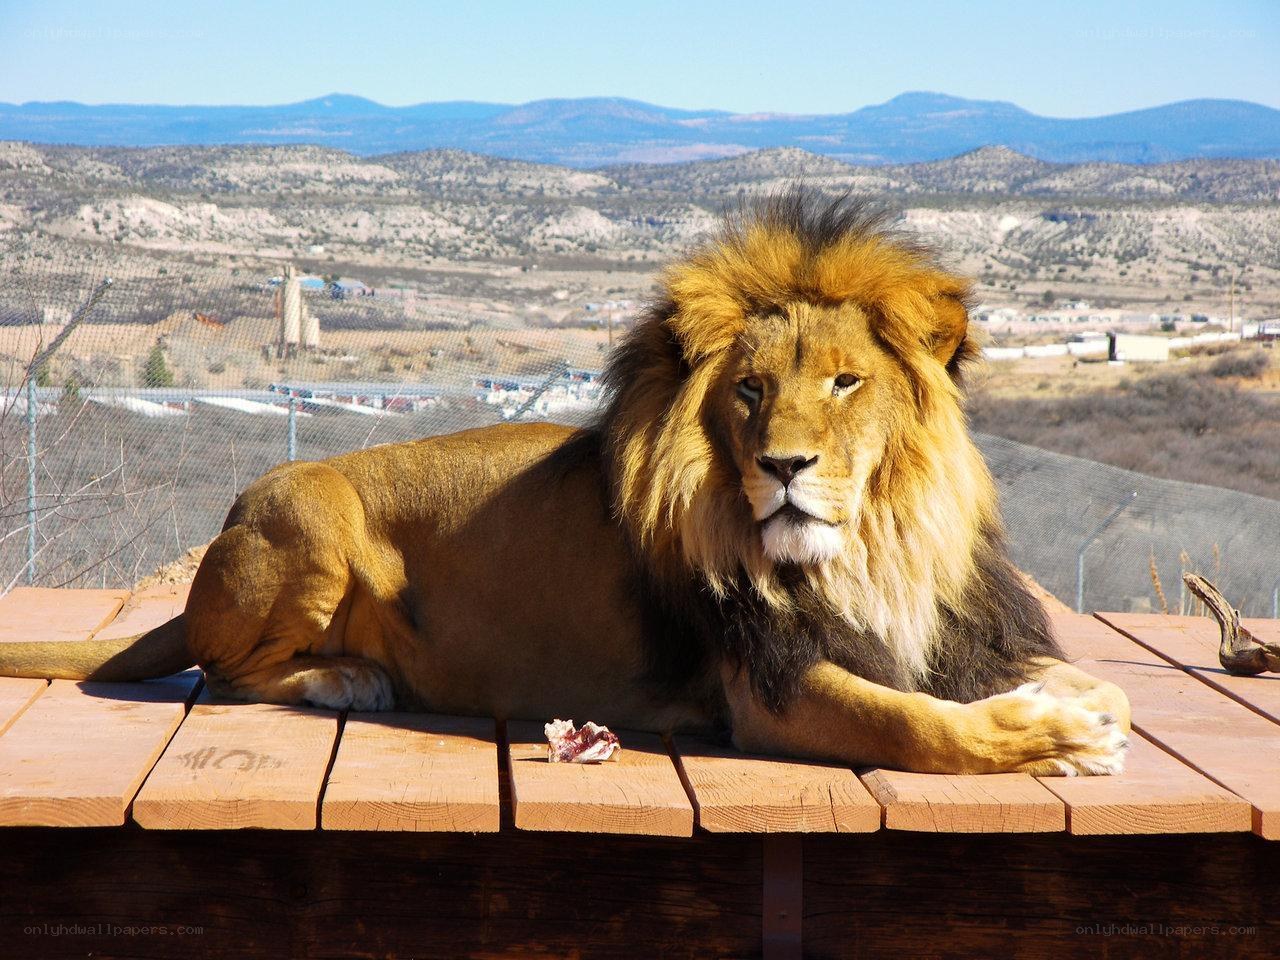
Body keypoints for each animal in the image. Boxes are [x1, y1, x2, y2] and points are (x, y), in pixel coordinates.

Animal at [0, 191, 1129, 776]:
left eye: (846, 382)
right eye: (751, 391)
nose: (783, 467)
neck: (872, 542)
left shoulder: (938, 632)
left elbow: (1066, 679)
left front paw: (1085, 707)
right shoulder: (767, 688)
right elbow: (916, 724)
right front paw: (1052, 736)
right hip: (306, 517)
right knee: (227, 672)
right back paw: (343, 676)